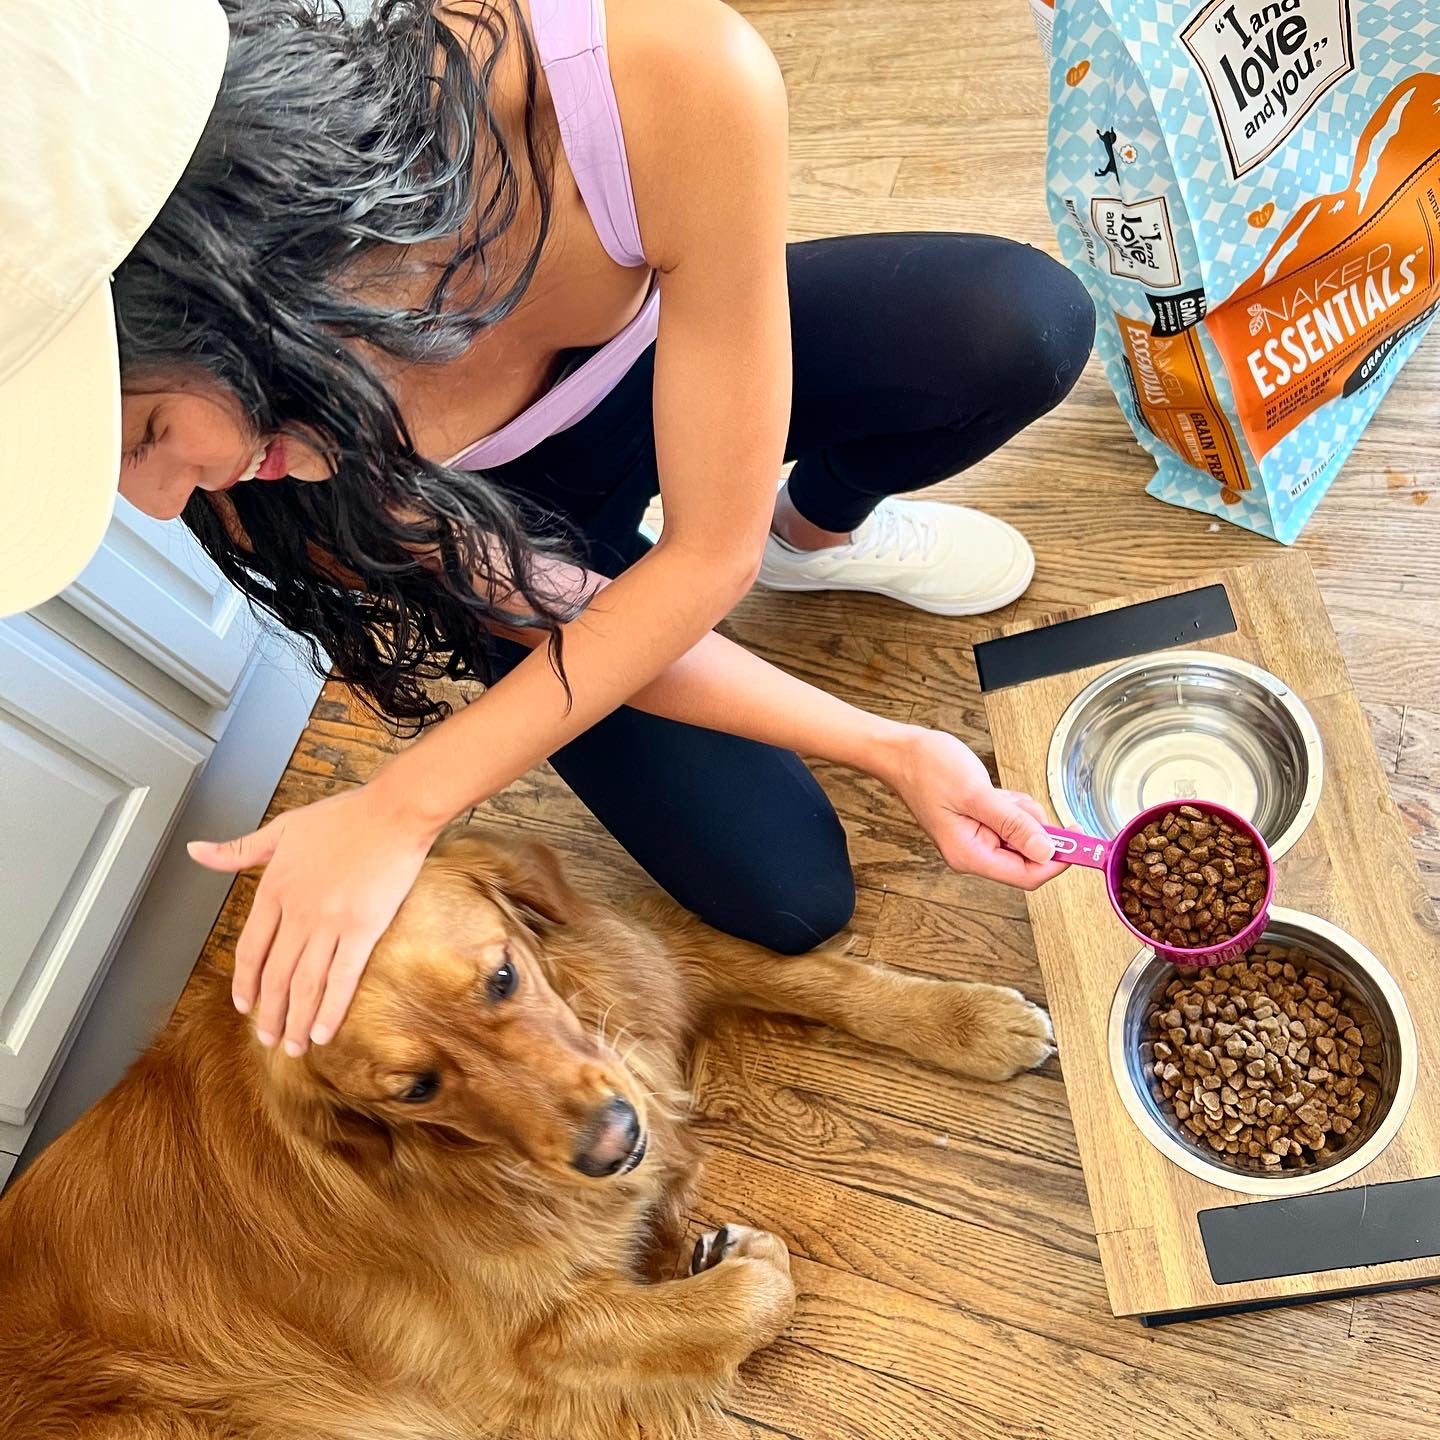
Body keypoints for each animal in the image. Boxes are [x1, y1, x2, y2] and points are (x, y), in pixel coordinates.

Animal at [2, 835, 1059, 1440]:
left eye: (503, 978)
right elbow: (758, 1291)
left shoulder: (653, 958)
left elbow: (817, 977)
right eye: (417, 1089)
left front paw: (969, 1024)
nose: (614, 1143)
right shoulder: (520, 1354)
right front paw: (728, 1263)